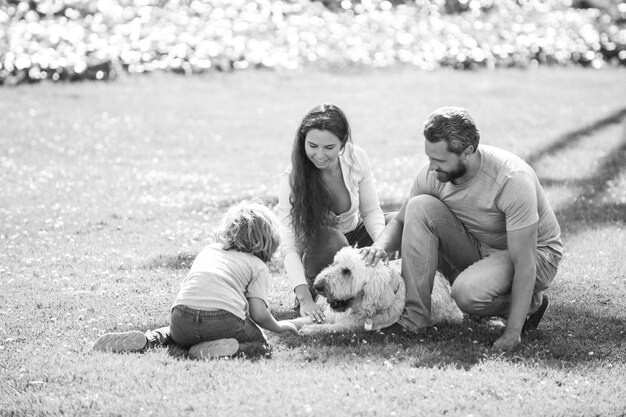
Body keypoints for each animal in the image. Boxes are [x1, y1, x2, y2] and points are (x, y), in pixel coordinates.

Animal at [290, 247, 460, 334]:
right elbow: (303, 319)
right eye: (334, 263)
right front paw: (292, 323)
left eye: (347, 271)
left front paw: (310, 329)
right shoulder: (330, 315)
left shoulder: (350, 326)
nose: (317, 286)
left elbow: (329, 328)